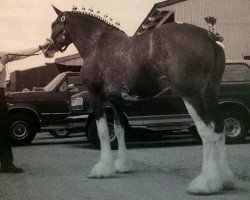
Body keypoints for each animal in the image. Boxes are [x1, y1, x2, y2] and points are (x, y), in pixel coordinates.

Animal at [44, 5, 234, 194]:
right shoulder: (116, 101)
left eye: (54, 25)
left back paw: (205, 183)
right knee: (219, 128)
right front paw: (121, 165)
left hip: (192, 95)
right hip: (210, 94)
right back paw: (225, 179)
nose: (46, 49)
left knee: (206, 131)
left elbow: (103, 131)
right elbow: (119, 130)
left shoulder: (95, 96)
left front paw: (103, 169)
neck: (97, 45)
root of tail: (209, 36)